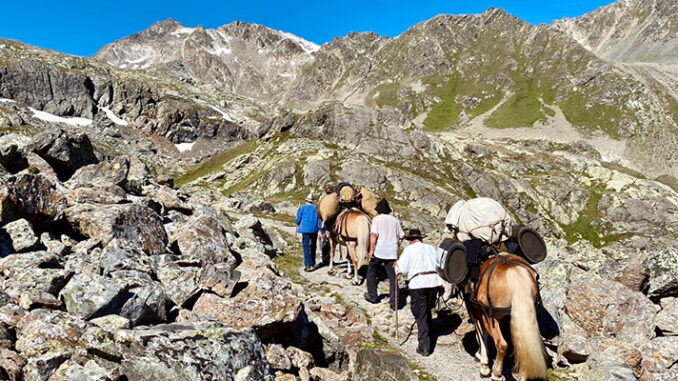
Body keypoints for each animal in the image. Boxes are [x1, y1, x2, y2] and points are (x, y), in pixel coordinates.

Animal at [464, 252, 548, 380]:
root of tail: (514, 270)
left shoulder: (477, 312)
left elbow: (481, 335)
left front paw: (483, 365)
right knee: (523, 346)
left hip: (490, 318)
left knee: (502, 344)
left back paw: (497, 375)